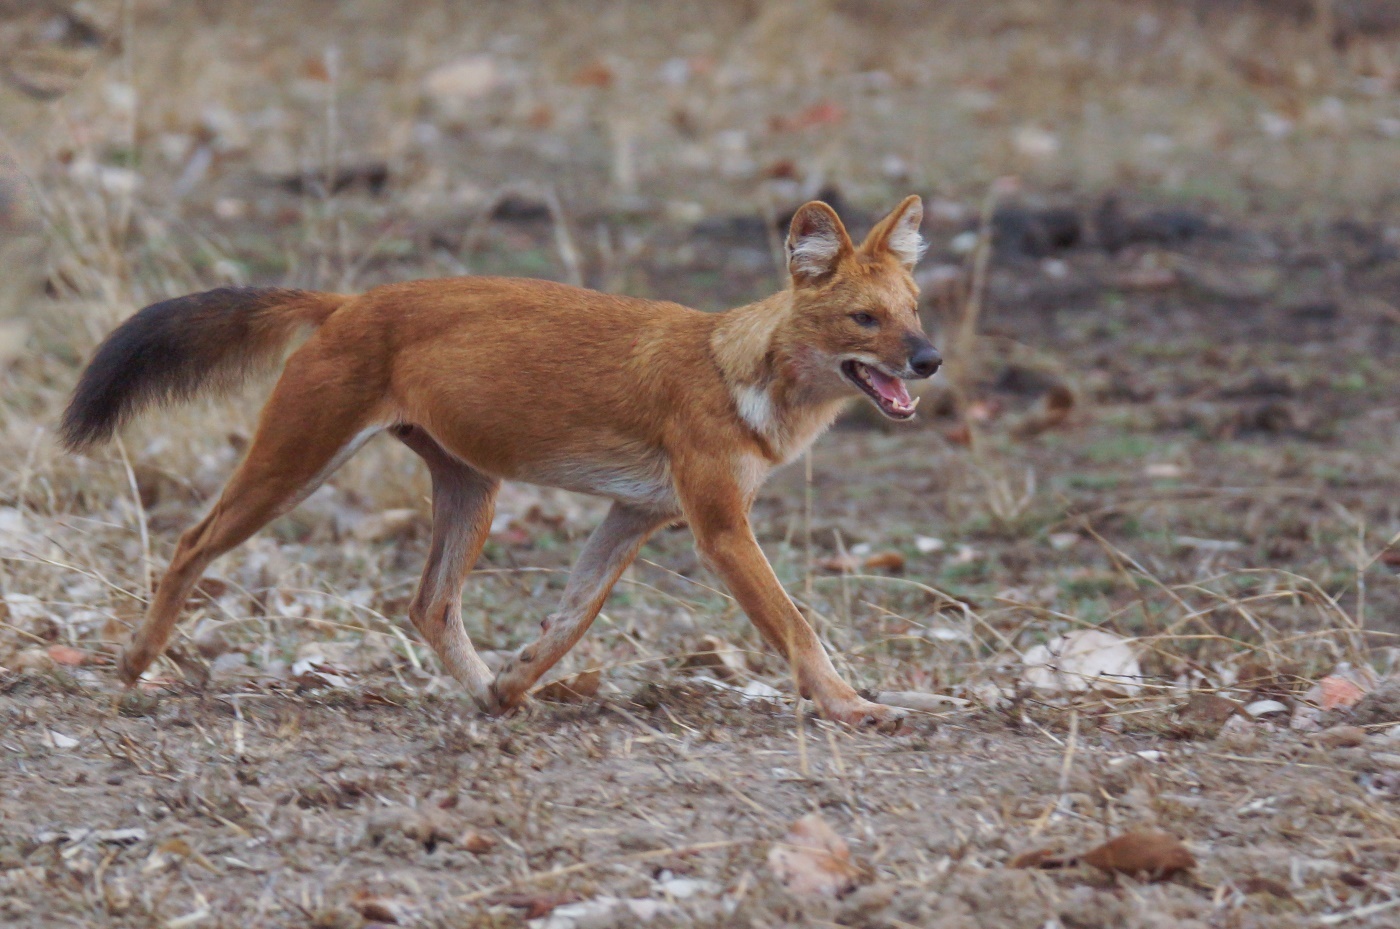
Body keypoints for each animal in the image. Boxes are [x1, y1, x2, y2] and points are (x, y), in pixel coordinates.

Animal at [63, 197, 940, 733]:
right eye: (865, 319)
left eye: (915, 311)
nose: (931, 359)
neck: (741, 372)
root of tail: (346, 302)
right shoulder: (719, 526)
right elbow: (796, 625)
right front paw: (853, 706)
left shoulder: (639, 513)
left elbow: (573, 615)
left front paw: (514, 681)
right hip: (294, 464)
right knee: (190, 541)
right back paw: (135, 661)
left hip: (471, 485)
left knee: (428, 604)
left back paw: (483, 686)